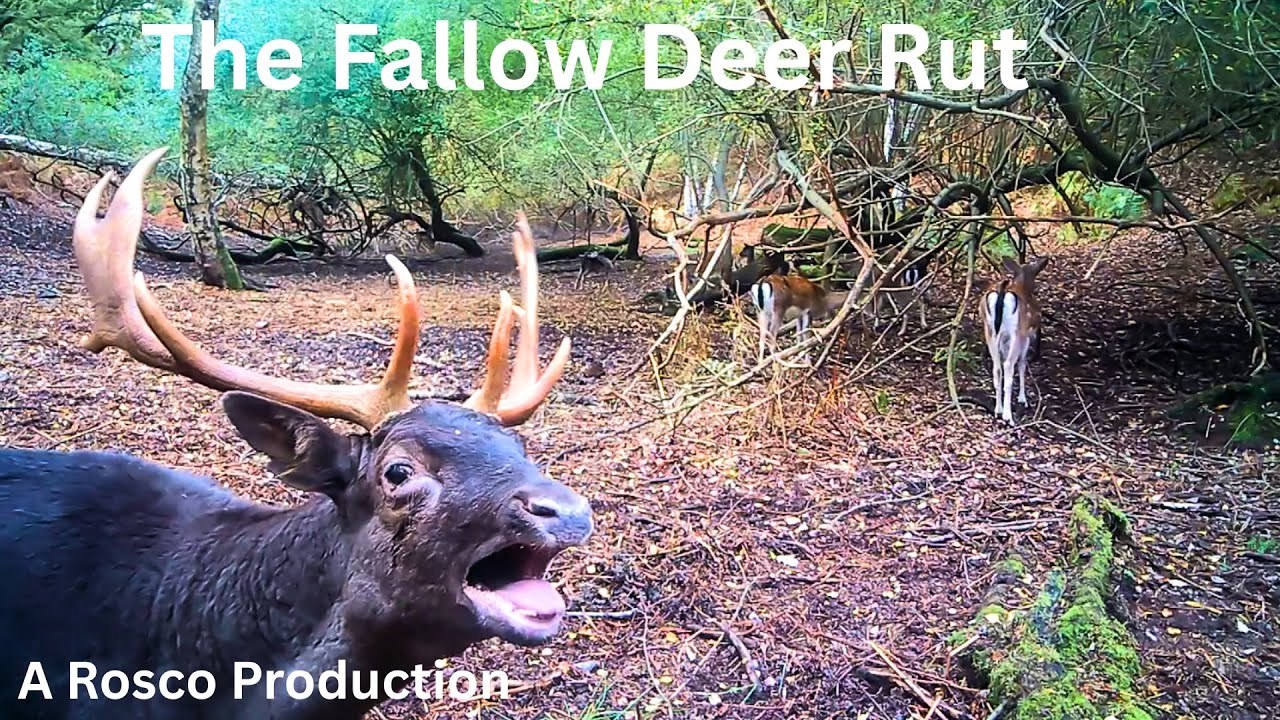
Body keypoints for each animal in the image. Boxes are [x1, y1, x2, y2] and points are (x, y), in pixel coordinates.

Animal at [980, 256, 1050, 424]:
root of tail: (1002, 292)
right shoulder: (1026, 336)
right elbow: (1023, 364)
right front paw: (1023, 399)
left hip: (989, 330)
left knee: (997, 367)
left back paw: (998, 410)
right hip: (1016, 332)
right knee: (1008, 365)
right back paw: (1008, 416)